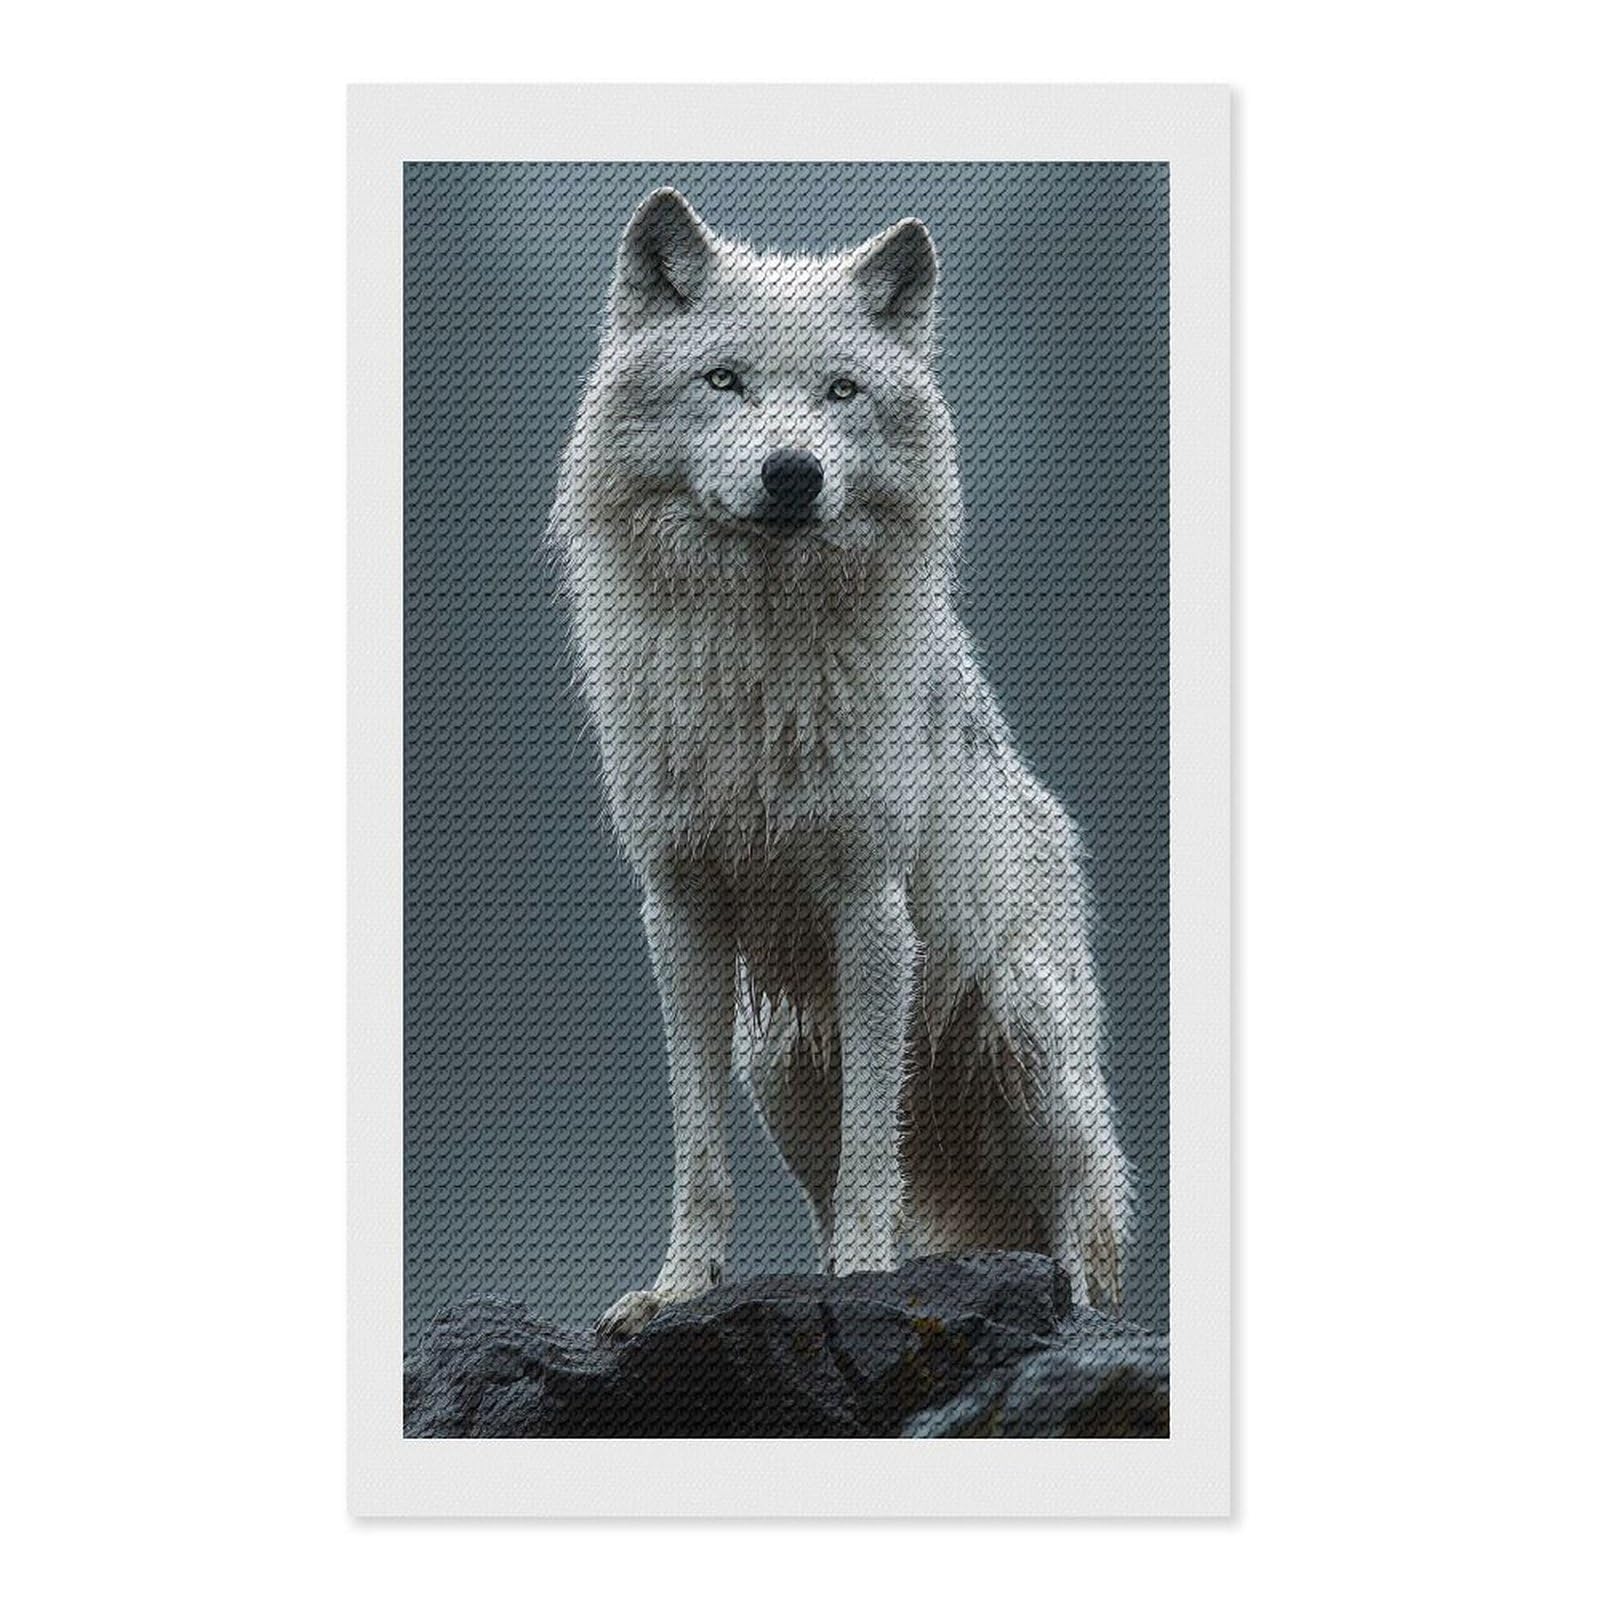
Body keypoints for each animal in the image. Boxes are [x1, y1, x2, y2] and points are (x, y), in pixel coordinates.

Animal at [547, 189, 1132, 1338]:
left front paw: (865, 1283)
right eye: (723, 379)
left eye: (840, 391)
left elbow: (874, 1151)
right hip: (781, 1061)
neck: (758, 650)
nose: (793, 473)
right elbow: (699, 1149)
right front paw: (679, 1289)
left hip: (1022, 1038)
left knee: (1077, 1224)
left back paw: (1071, 1318)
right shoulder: (681, 909)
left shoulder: (869, 910)